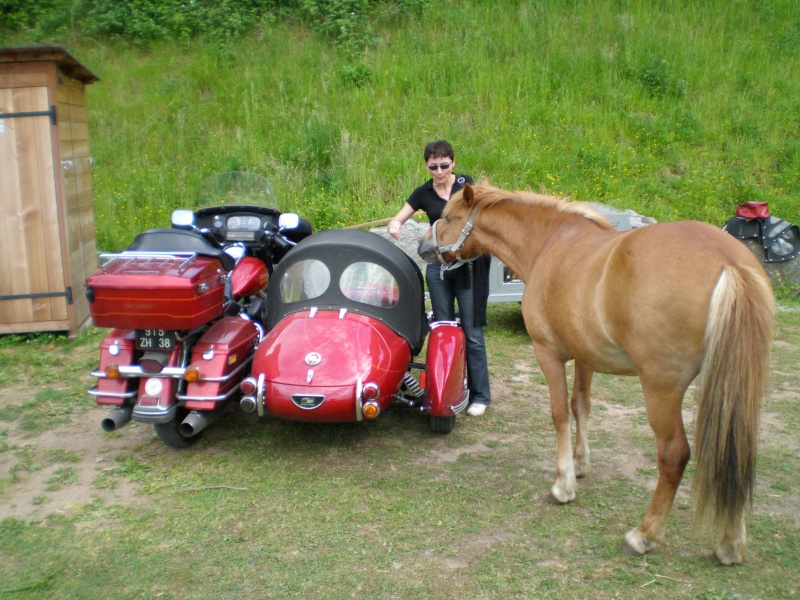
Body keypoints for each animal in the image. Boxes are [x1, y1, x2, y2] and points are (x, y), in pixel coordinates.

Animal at [418, 180, 776, 564]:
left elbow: (560, 413)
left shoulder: (548, 354)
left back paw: (644, 535)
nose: (423, 247)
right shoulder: (584, 356)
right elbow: (581, 406)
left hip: (661, 388)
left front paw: (564, 484)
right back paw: (730, 542)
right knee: (736, 451)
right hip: (735, 388)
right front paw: (580, 464)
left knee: (674, 454)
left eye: (449, 218)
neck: (549, 243)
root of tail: (729, 261)